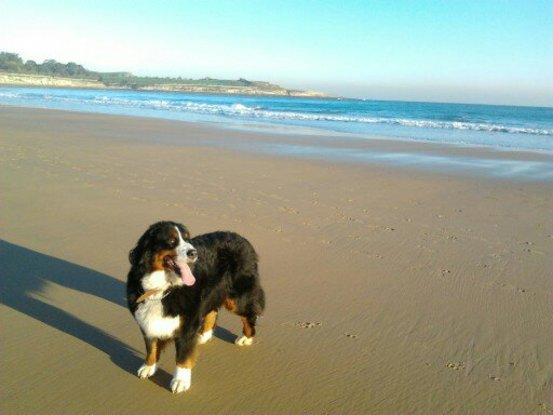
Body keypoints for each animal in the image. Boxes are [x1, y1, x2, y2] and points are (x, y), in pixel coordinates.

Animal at [126, 221, 264, 394]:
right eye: (171, 241)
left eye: (187, 239)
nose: (193, 253)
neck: (162, 289)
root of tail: (242, 238)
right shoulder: (147, 322)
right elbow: (151, 348)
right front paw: (148, 367)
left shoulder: (188, 323)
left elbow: (183, 357)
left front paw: (180, 381)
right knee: (213, 311)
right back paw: (203, 335)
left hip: (237, 298)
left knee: (249, 314)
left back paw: (246, 337)